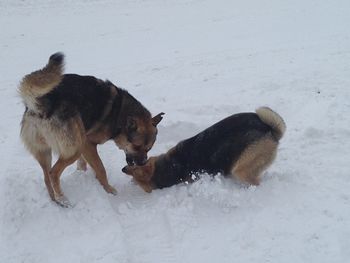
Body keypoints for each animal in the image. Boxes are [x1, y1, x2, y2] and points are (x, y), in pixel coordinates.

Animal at [19, 52, 165, 207]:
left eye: (148, 148)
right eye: (136, 146)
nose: (143, 163)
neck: (119, 113)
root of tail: (40, 104)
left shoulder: (83, 144)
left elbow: (84, 163)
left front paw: (82, 173)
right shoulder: (87, 144)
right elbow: (100, 168)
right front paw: (108, 190)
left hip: (44, 151)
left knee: (46, 177)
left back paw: (55, 200)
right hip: (74, 147)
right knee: (53, 173)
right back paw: (63, 199)